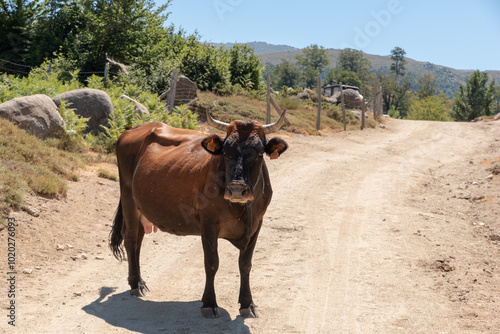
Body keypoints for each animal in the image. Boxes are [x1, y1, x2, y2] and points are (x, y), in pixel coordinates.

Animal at [110, 110, 290, 318]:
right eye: (226, 152)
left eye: (259, 153)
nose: (237, 190)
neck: (242, 209)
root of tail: (135, 129)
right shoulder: (209, 223)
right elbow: (212, 263)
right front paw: (209, 303)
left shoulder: (256, 223)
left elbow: (245, 264)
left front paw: (248, 303)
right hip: (128, 198)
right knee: (131, 237)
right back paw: (135, 284)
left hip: (141, 206)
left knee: (138, 239)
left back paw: (140, 281)